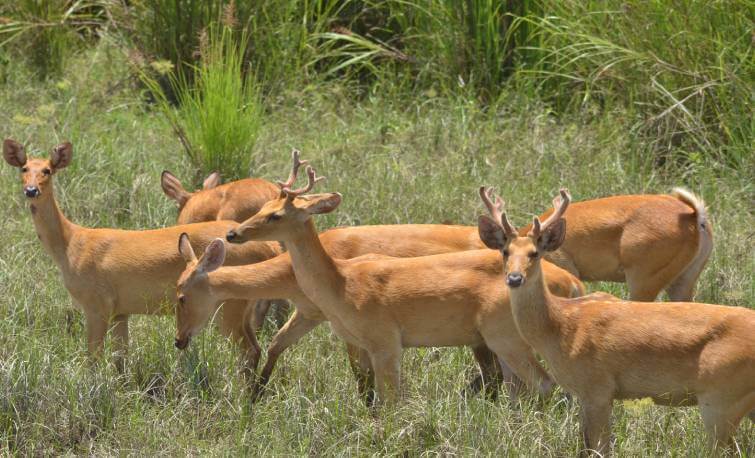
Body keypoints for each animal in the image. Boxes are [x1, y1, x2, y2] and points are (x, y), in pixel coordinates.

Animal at [221, 150, 588, 404]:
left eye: (275, 215)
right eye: (262, 206)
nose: (233, 233)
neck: (341, 283)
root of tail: (573, 284)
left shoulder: (385, 338)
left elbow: (389, 399)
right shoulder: (357, 338)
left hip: (504, 336)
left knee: (540, 383)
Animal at [478, 186, 755, 454]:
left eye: (534, 253)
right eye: (505, 252)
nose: (514, 278)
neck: (561, 326)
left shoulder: (597, 389)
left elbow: (599, 448)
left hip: (719, 398)